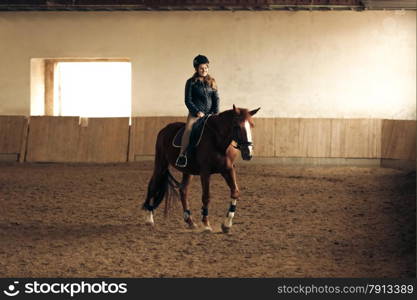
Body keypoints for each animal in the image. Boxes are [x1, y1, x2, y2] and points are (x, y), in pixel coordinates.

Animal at [143, 104, 260, 233]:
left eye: (252, 125)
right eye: (237, 126)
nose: (248, 154)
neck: (218, 142)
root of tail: (164, 129)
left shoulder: (228, 169)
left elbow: (235, 192)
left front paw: (226, 225)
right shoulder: (205, 172)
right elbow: (206, 196)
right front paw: (206, 225)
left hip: (187, 171)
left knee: (183, 190)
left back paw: (190, 222)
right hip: (161, 164)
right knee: (153, 185)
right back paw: (149, 219)